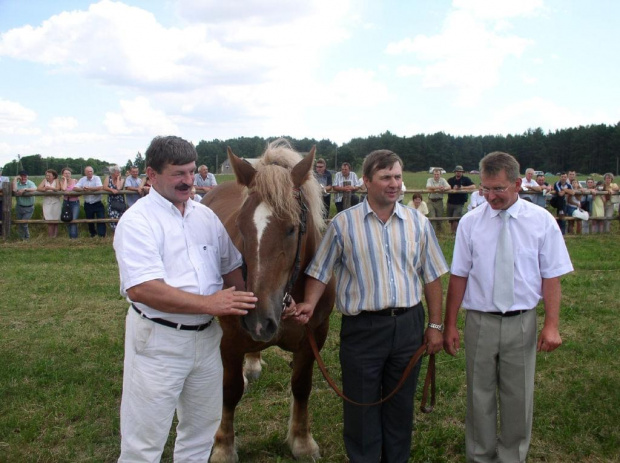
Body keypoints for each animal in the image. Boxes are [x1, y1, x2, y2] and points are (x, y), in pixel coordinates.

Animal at [205, 140, 334, 462]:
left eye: (292, 228)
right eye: (240, 226)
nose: (258, 320)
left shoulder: (314, 337)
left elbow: (301, 387)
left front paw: (302, 441)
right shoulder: (231, 340)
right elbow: (230, 390)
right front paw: (224, 446)